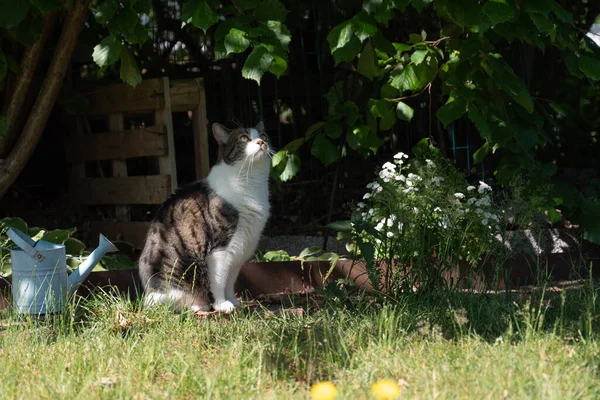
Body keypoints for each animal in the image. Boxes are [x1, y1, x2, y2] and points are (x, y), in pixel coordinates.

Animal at [138, 120, 272, 314]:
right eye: (244, 138)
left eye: (263, 136)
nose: (261, 142)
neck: (251, 181)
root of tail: (147, 296)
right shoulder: (220, 249)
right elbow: (219, 280)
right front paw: (222, 304)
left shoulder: (240, 249)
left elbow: (230, 280)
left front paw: (234, 301)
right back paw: (199, 305)